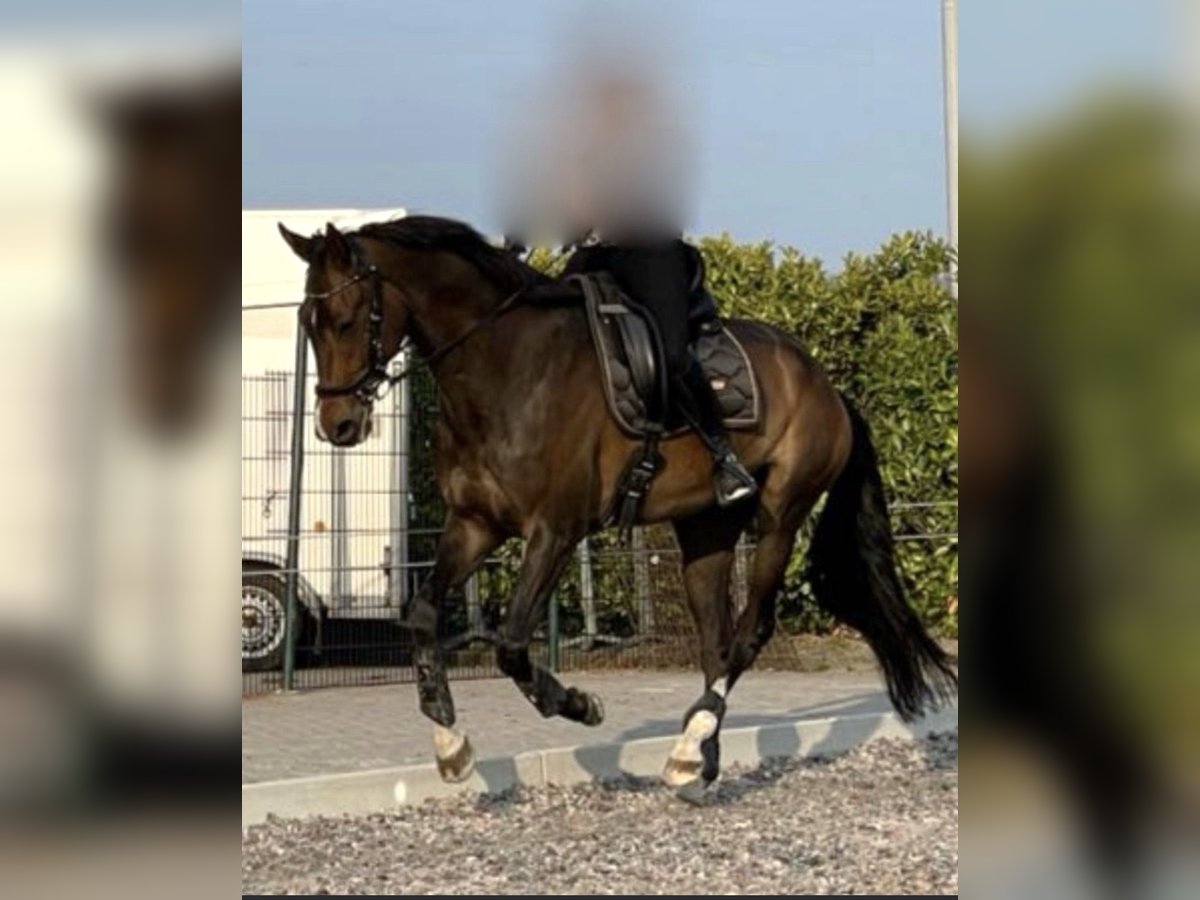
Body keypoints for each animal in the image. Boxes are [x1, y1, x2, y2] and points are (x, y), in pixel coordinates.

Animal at [278, 215, 956, 798]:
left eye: (345, 318)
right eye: (308, 322)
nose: (337, 425)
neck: (504, 368)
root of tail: (825, 383)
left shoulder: (555, 530)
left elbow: (512, 642)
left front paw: (579, 705)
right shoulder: (475, 525)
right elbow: (422, 615)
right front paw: (451, 744)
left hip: (781, 517)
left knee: (748, 634)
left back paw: (690, 744)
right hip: (706, 531)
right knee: (715, 642)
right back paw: (698, 757)